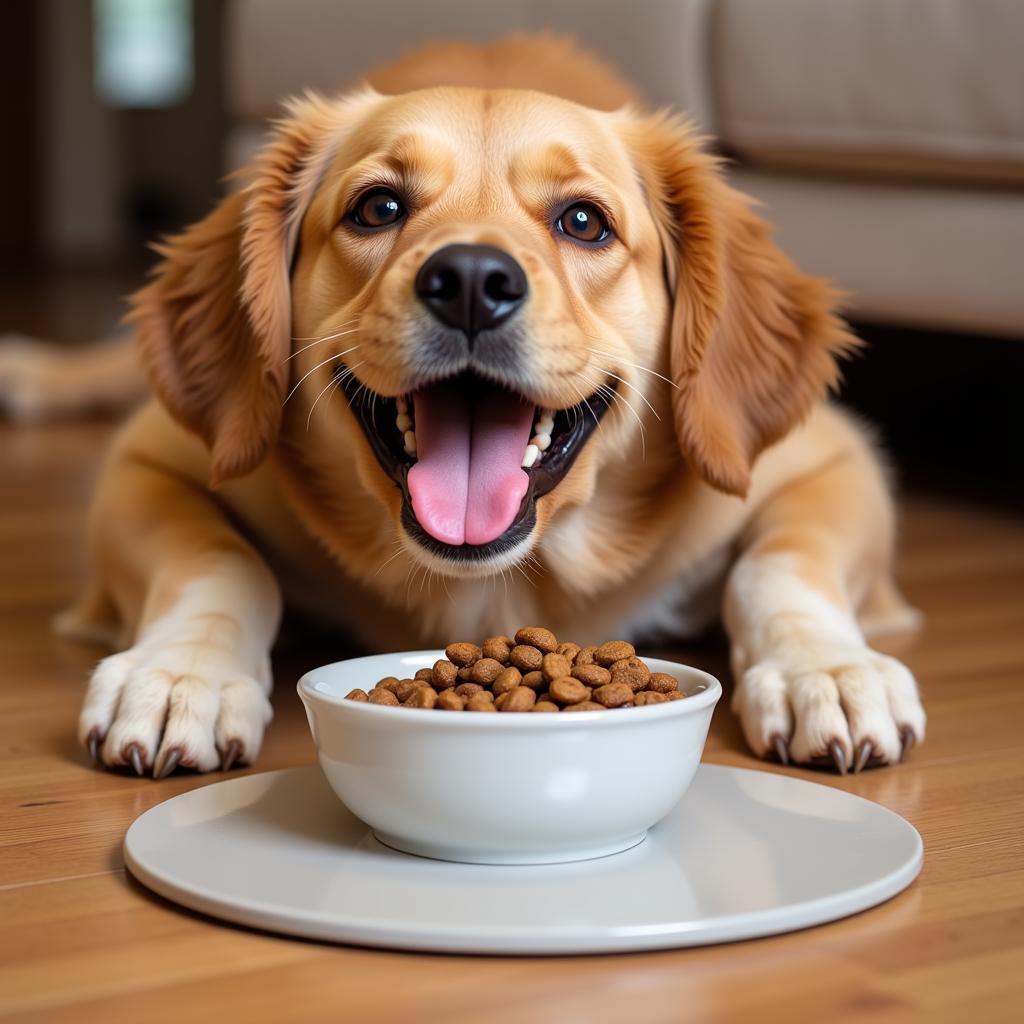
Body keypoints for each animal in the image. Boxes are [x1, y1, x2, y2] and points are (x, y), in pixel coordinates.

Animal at [2, 37, 929, 774]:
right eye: (378, 207)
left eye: (584, 222)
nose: (474, 281)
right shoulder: (149, 461)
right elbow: (218, 559)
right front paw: (179, 675)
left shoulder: (835, 459)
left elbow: (782, 565)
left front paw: (830, 672)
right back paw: (32, 373)